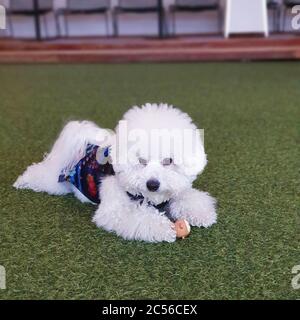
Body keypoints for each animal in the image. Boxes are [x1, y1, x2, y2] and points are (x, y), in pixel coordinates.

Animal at [14, 104, 217, 241]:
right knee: (38, 173)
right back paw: (22, 181)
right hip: (55, 182)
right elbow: (140, 216)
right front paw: (163, 228)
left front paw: (202, 214)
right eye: (141, 161)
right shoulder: (115, 209)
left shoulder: (175, 193)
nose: (152, 184)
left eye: (168, 161)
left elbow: (190, 198)